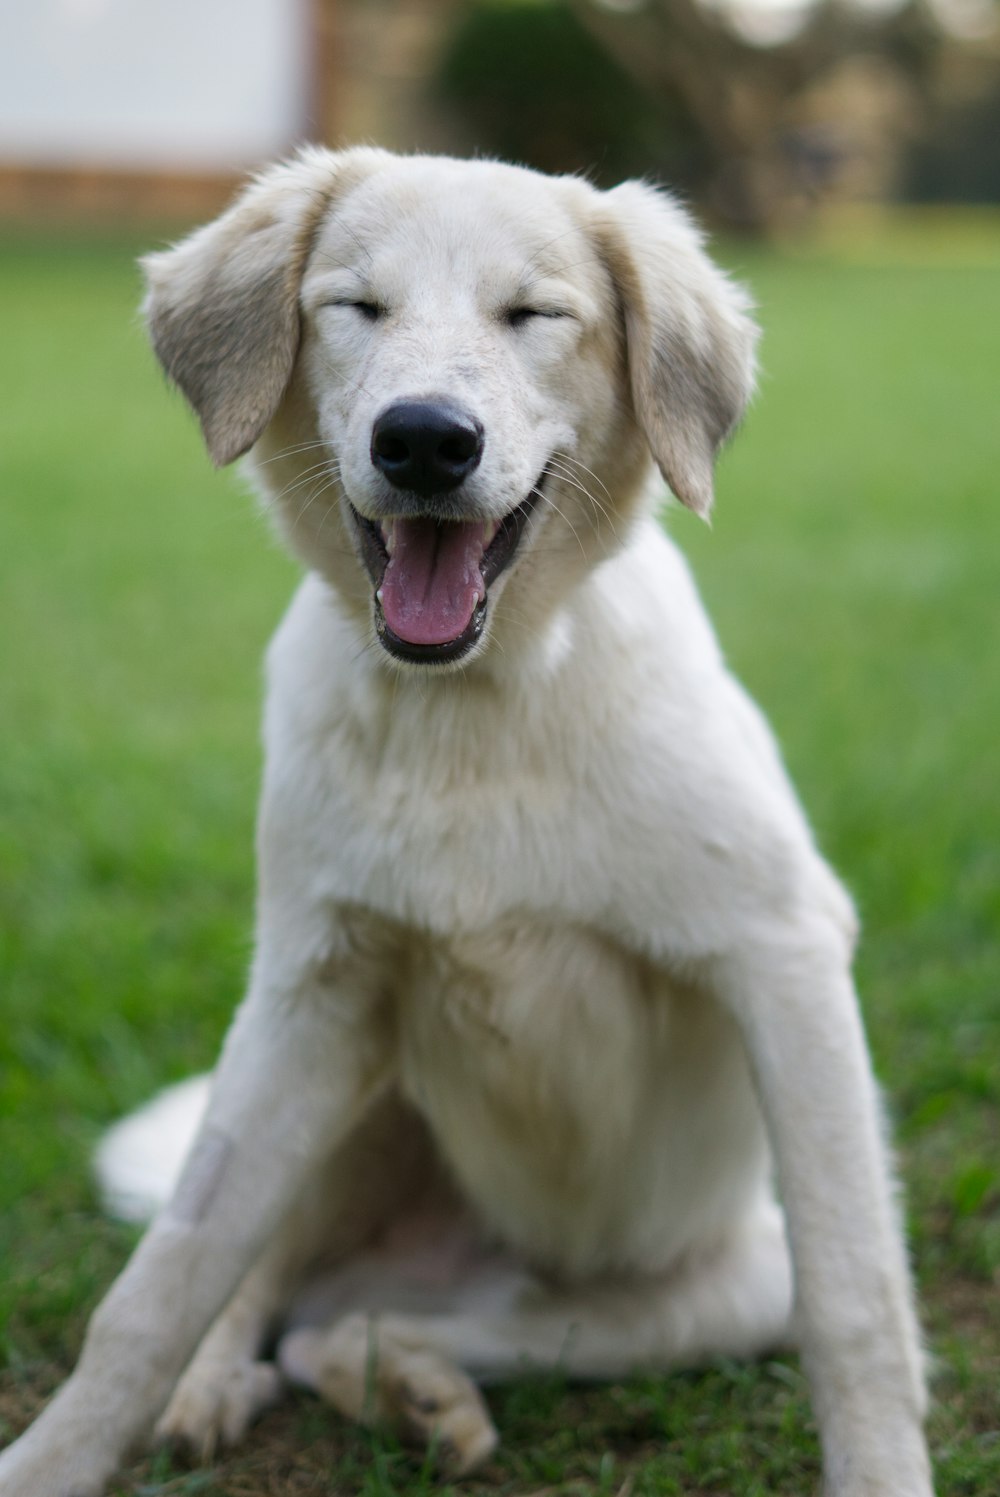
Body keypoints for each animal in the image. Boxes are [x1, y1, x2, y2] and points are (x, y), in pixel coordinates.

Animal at [1, 151, 940, 1497]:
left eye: (533, 315)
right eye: (356, 307)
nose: (425, 441)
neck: (473, 716)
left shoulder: (784, 958)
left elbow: (856, 1303)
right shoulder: (311, 989)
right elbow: (160, 1287)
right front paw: (56, 1459)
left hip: (703, 1290)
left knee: (357, 1319)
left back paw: (416, 1391)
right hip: (328, 1088)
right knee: (272, 1283)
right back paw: (236, 1386)